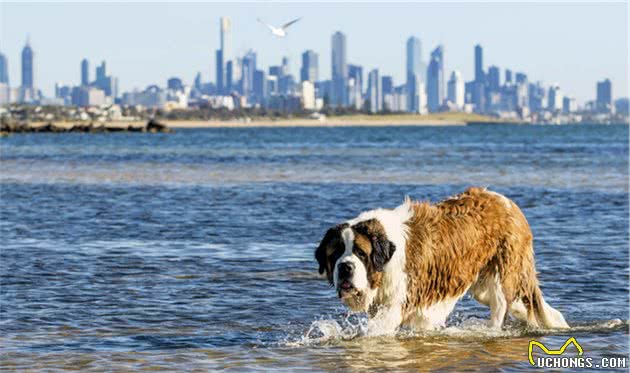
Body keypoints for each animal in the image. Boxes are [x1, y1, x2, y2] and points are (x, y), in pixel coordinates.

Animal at [318, 187, 572, 332]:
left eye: (360, 253)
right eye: (335, 254)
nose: (345, 267)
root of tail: (508, 202)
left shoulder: (397, 304)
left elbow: (373, 331)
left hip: (504, 272)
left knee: (501, 307)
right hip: (485, 285)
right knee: (521, 302)